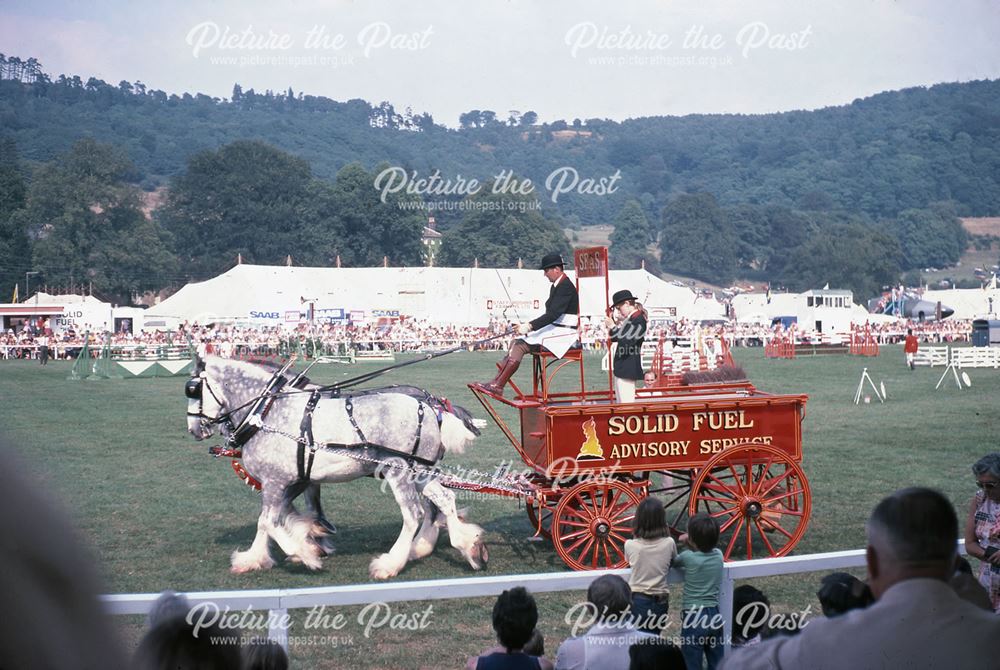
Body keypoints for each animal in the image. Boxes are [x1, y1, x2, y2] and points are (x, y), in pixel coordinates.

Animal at [186, 356, 490, 584]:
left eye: (192, 389)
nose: (194, 430)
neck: (267, 412)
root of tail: (430, 406)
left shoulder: (276, 481)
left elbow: (270, 522)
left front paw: (304, 552)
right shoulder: (290, 481)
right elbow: (272, 520)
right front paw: (254, 558)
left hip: (399, 470)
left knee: (414, 514)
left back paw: (390, 563)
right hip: (420, 471)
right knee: (444, 501)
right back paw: (467, 546)